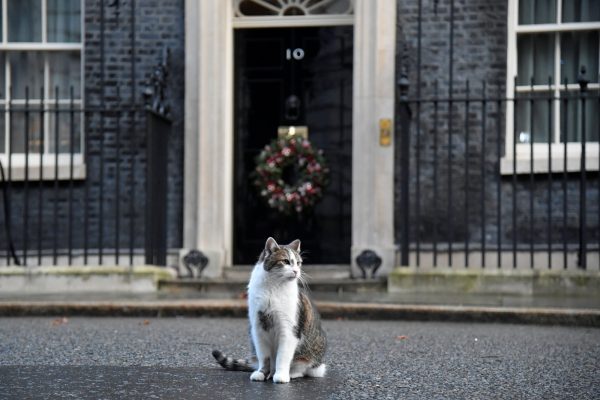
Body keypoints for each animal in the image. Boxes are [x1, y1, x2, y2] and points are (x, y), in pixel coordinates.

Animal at [211, 238, 324, 384]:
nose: (296, 271)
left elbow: (282, 356)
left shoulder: (288, 330)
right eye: (286, 261)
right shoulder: (258, 328)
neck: (273, 286)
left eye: (298, 263)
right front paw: (261, 373)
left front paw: (281, 375)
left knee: (304, 369)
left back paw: (290, 373)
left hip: (308, 356)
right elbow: (264, 357)